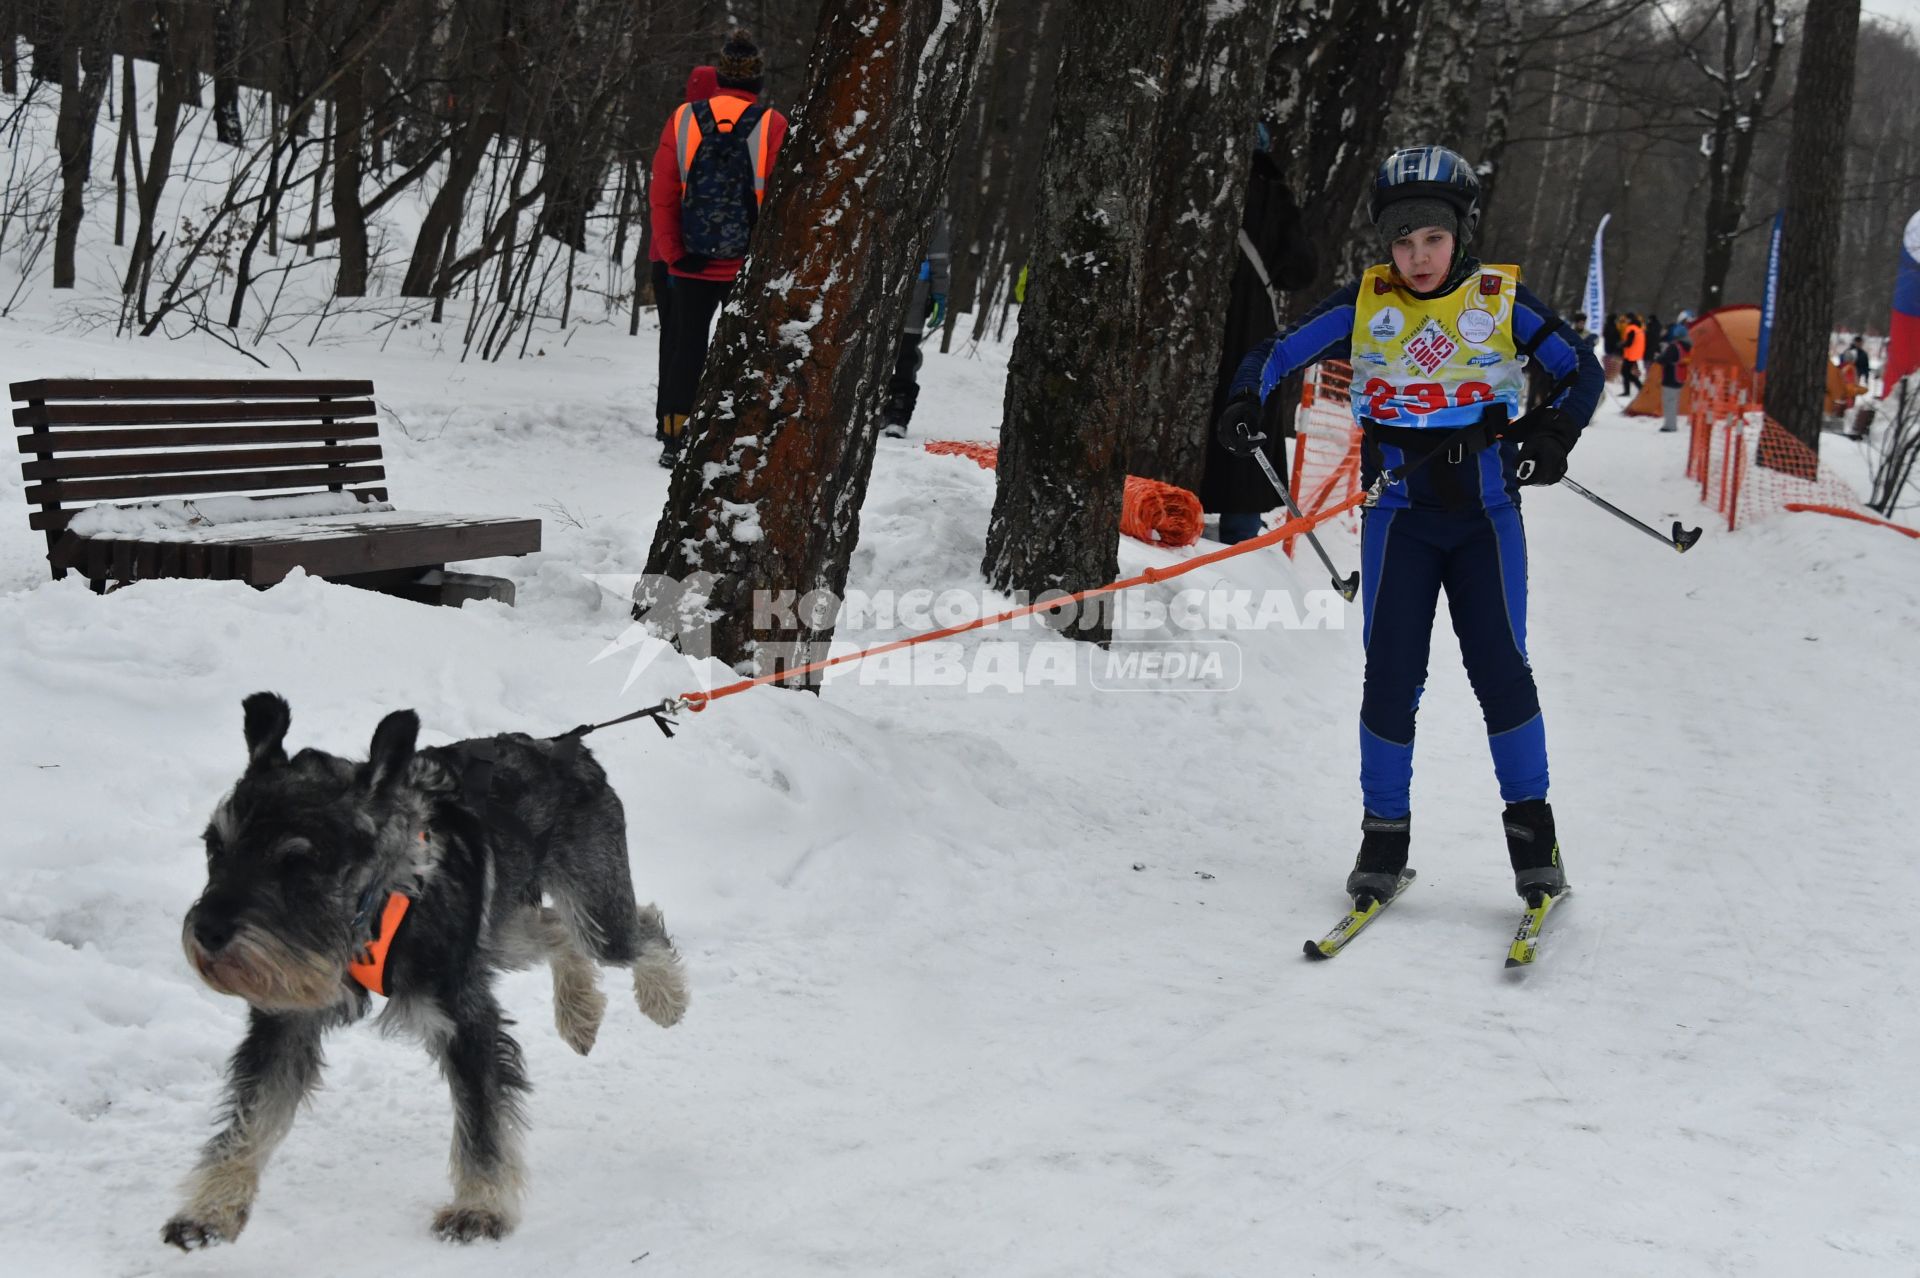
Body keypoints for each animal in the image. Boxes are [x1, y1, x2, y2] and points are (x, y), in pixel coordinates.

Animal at [165, 698, 691, 1243]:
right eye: (214, 847)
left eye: (297, 862)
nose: (207, 932)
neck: (373, 909)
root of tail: (566, 748)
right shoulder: (286, 1020)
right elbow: (251, 1116)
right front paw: (209, 1210)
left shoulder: (466, 1018)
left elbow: (482, 1125)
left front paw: (479, 1209)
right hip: (502, 933)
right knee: (556, 930)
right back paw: (580, 1013)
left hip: (597, 914)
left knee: (638, 931)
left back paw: (664, 1001)